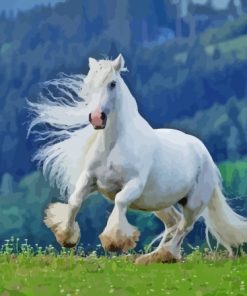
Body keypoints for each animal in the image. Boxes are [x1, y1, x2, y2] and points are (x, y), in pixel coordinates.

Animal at [29, 54, 247, 264]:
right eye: (88, 83)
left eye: (112, 83)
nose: (97, 118)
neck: (113, 145)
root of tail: (204, 153)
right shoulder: (89, 178)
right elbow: (74, 201)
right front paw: (67, 237)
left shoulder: (134, 185)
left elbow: (119, 201)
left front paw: (114, 241)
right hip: (159, 202)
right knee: (173, 223)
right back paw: (152, 257)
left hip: (193, 203)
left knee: (184, 227)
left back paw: (163, 255)